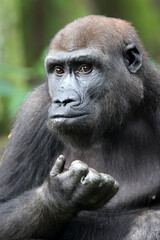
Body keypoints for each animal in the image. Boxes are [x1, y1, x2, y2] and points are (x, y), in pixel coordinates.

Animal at [0, 15, 160, 240]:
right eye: (58, 70)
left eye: (85, 68)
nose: (63, 101)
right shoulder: (32, 113)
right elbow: (3, 208)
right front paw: (61, 193)